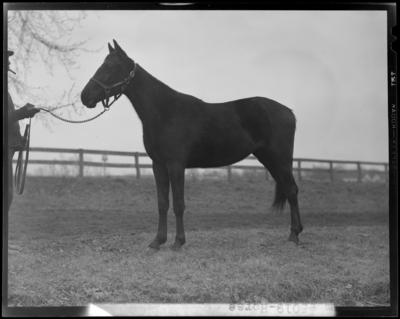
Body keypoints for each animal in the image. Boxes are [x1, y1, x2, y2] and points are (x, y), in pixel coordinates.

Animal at [80, 40, 304, 251]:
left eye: (110, 66)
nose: (85, 96)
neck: (165, 112)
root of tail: (288, 112)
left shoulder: (176, 165)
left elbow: (179, 204)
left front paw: (178, 242)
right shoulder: (158, 165)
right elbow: (162, 203)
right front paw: (157, 241)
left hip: (280, 160)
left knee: (292, 190)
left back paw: (294, 236)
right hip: (269, 159)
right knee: (288, 189)